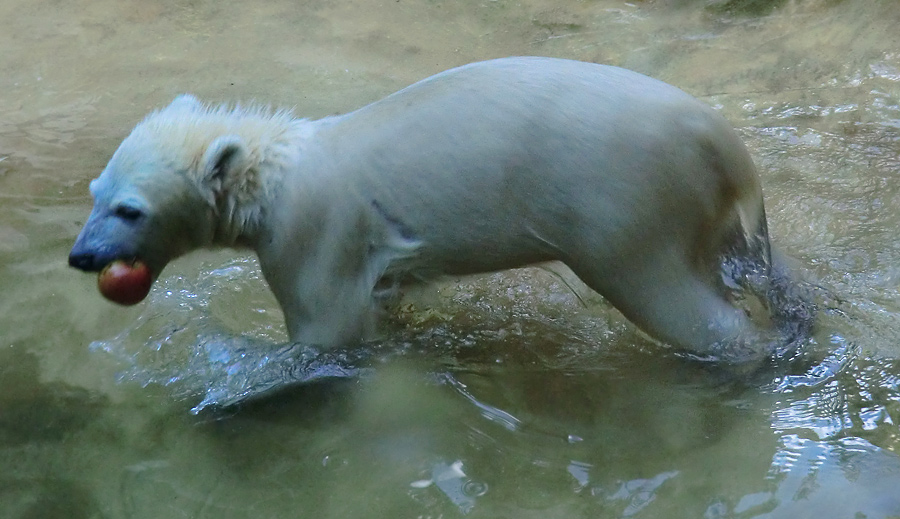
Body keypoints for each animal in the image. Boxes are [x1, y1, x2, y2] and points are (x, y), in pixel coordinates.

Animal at [68, 57, 816, 364]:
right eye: (95, 193)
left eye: (130, 210)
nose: (81, 255)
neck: (275, 173)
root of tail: (723, 144)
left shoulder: (311, 237)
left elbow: (328, 328)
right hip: (708, 214)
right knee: (756, 266)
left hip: (621, 206)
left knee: (671, 297)